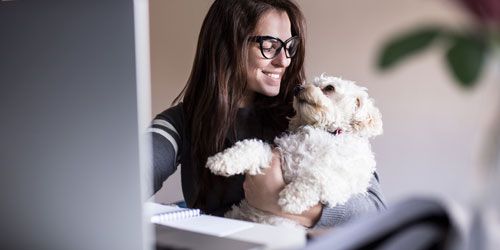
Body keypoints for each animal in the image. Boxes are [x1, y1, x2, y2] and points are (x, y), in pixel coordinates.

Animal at [205, 73, 380, 227]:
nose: (297, 88)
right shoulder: (278, 155)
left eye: (329, 88)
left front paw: (292, 197)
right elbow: (252, 146)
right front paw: (221, 161)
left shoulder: (342, 183)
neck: (325, 131)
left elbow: (319, 175)